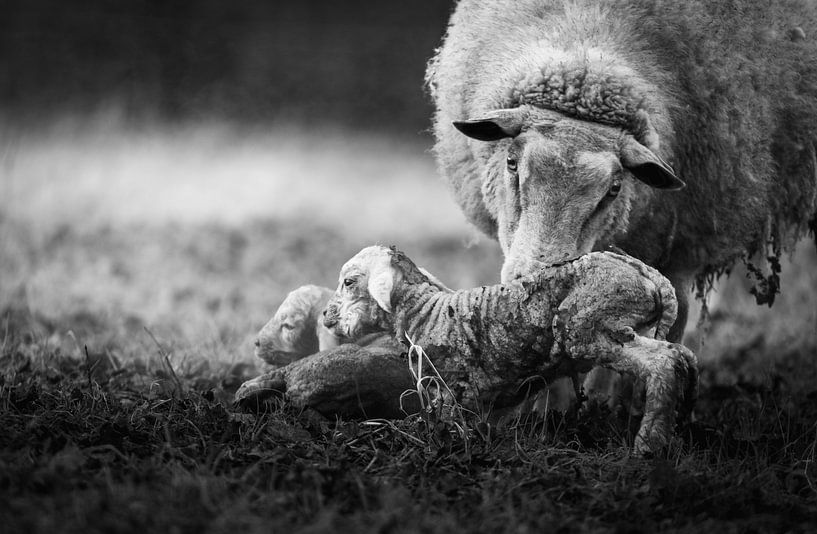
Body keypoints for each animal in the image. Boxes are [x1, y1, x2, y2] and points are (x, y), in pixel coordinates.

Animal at [322, 245, 698, 455]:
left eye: (349, 282)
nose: (326, 315)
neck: (426, 309)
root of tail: (645, 272)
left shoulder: (447, 389)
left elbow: (442, 426)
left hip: (591, 325)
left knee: (663, 361)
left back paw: (649, 444)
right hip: (614, 327)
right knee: (682, 354)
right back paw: (680, 425)